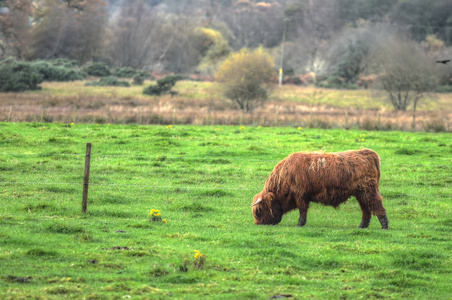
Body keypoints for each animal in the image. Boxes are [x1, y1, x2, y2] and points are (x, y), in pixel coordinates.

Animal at [251, 148, 388, 230]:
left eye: (259, 211)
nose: (257, 224)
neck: (285, 175)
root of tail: (366, 152)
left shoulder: (300, 195)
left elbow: (302, 210)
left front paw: (299, 224)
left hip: (368, 191)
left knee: (377, 205)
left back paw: (384, 225)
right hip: (361, 193)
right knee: (366, 209)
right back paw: (362, 226)